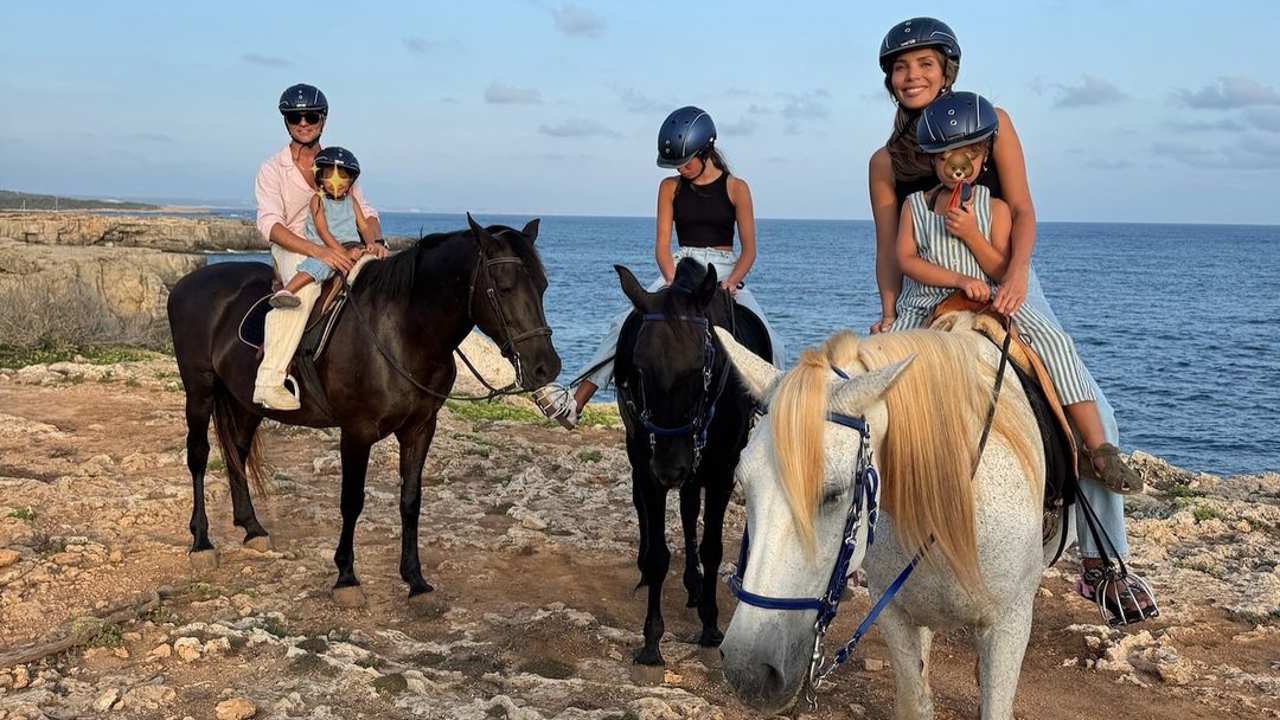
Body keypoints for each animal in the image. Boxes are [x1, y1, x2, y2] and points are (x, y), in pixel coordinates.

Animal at [167, 213, 558, 604]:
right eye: (504, 287)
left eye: (543, 286)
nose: (547, 367)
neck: (402, 331)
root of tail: (185, 284)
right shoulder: (356, 432)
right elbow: (351, 501)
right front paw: (346, 576)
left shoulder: (420, 429)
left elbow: (410, 500)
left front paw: (415, 579)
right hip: (199, 391)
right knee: (199, 455)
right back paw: (201, 542)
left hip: (246, 401)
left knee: (237, 452)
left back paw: (251, 527)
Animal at [609, 256, 768, 661]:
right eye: (639, 368)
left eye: (699, 367)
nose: (671, 467)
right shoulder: (649, 469)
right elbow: (658, 554)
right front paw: (652, 639)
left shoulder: (722, 471)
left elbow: (712, 547)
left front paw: (710, 624)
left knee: (689, 510)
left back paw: (695, 585)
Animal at [716, 326, 1054, 717]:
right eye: (742, 481)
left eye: (834, 493)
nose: (747, 670)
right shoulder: (893, 612)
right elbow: (915, 702)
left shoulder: (1010, 625)